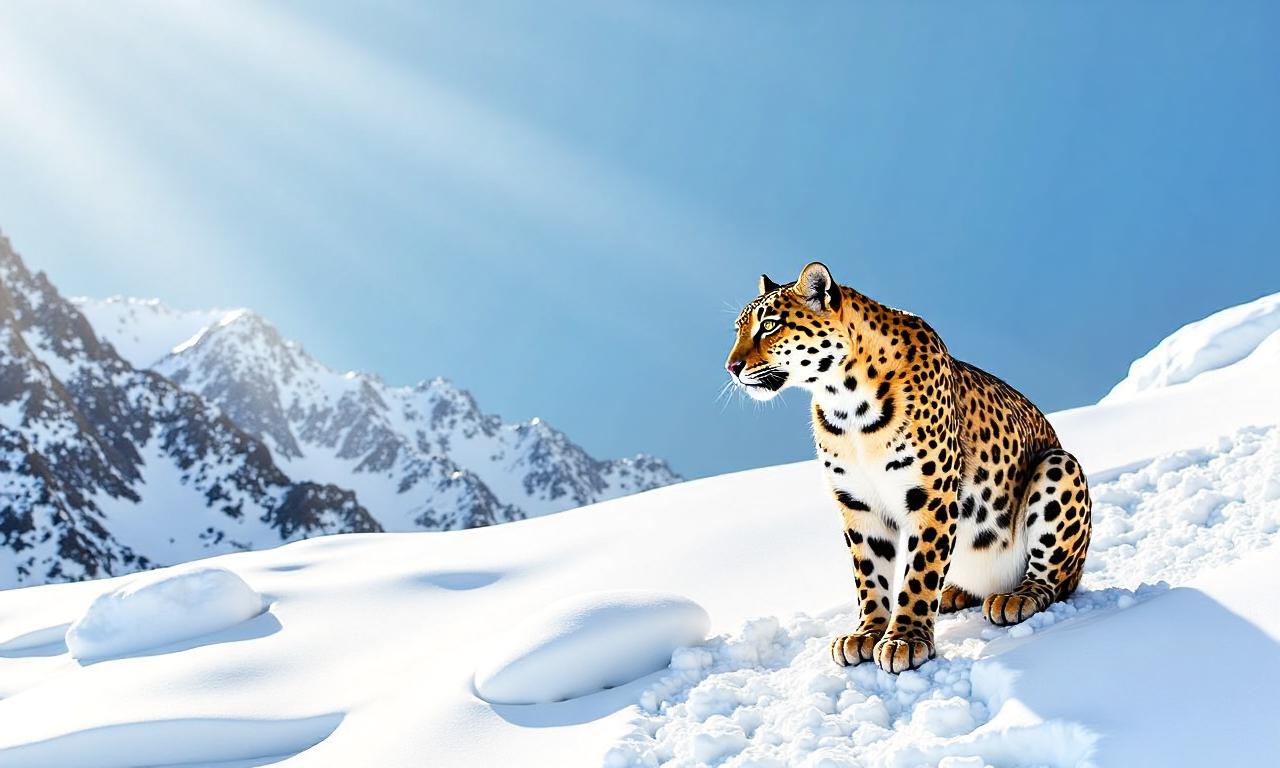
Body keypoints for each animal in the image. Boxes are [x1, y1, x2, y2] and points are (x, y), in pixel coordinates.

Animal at [725, 262, 1092, 673]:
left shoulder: (930, 495)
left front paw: (905, 639)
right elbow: (869, 574)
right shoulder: (857, 502)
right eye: (738, 329)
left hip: (1060, 467)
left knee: (1052, 579)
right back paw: (954, 594)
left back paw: (1016, 598)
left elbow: (920, 572)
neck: (845, 402)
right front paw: (867, 633)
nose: (731, 367)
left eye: (770, 325)